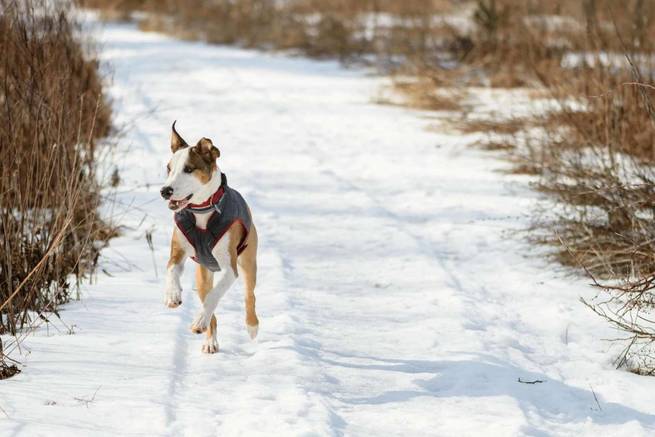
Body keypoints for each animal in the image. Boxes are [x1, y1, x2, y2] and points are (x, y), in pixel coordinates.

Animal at [160, 121, 260, 352]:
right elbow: (171, 269)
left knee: (248, 295)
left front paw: (198, 319)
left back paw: (251, 326)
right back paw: (209, 339)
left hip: (248, 262)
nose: (165, 191)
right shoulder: (178, 250)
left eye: (188, 169)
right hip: (203, 273)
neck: (202, 210)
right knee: (208, 302)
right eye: (169, 168)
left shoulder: (230, 267)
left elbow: (216, 294)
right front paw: (173, 295)